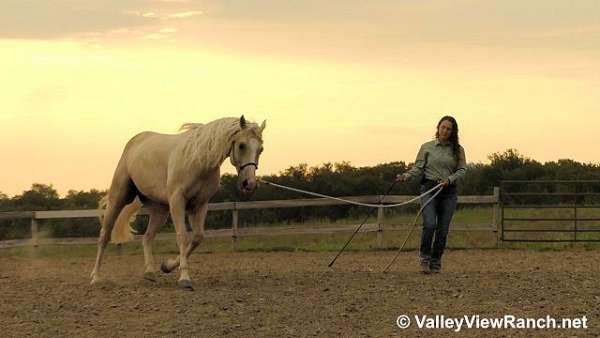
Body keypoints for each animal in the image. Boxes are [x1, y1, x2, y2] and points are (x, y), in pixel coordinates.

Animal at [91, 117, 264, 290]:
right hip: (118, 200)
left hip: (160, 211)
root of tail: (135, 142)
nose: (249, 183)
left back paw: (149, 272)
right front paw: (184, 279)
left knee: (147, 238)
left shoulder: (200, 205)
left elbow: (197, 238)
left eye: (260, 149)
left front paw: (167, 266)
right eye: (242, 145)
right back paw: (96, 277)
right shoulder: (177, 201)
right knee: (104, 235)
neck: (198, 160)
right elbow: (182, 236)